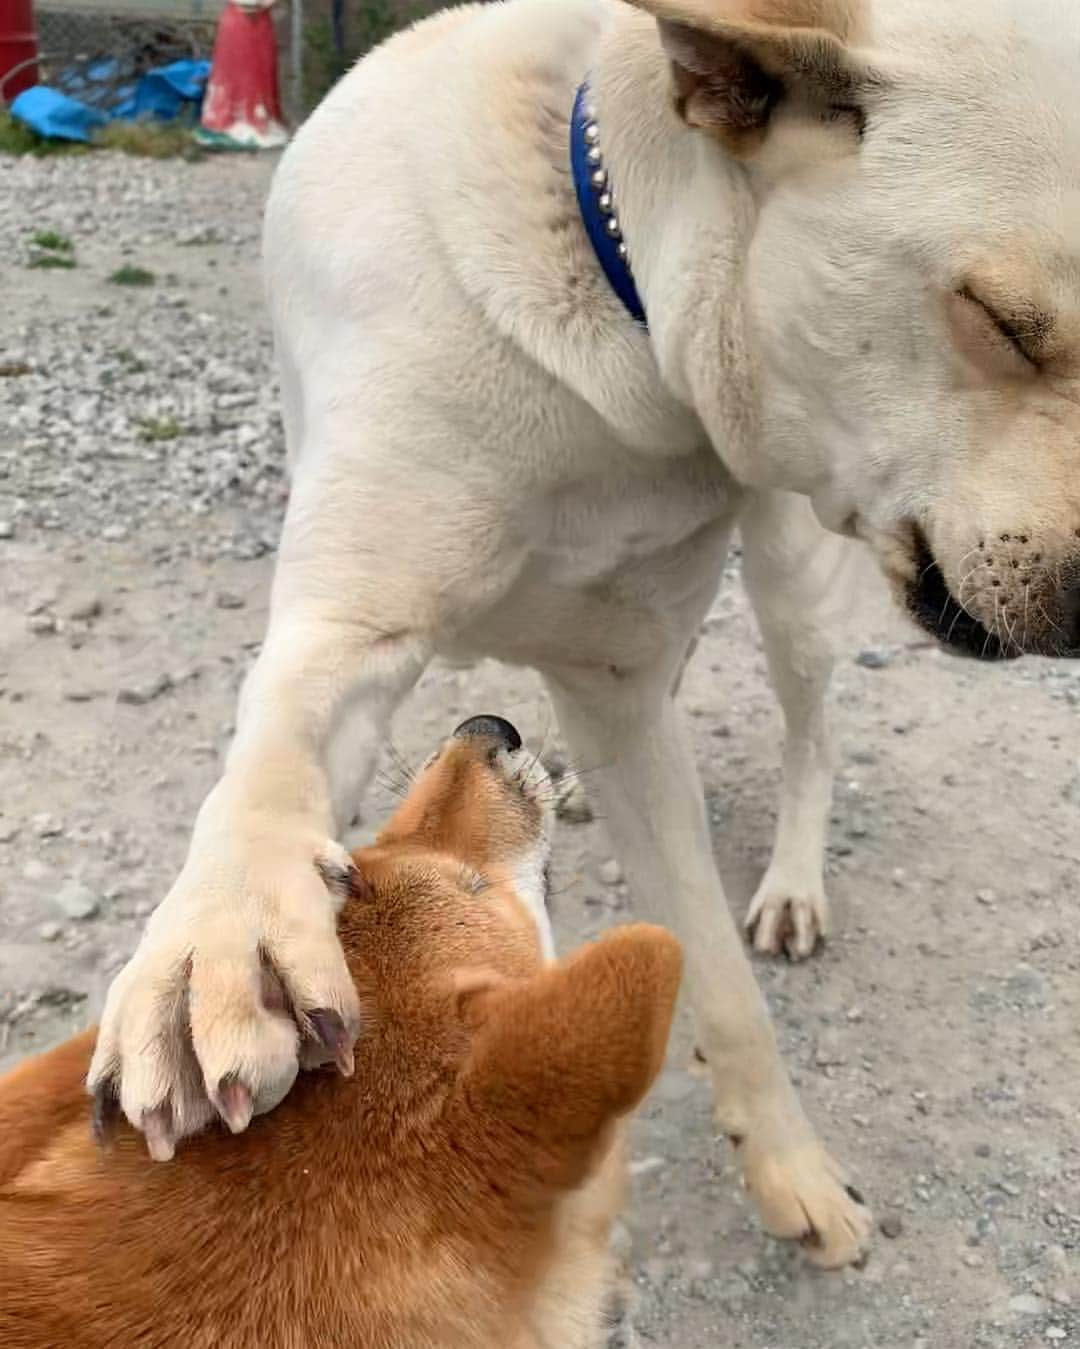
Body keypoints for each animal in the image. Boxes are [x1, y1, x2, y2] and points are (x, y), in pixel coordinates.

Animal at [88, 0, 1078, 1268]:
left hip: (797, 581)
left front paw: (793, 1171)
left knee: (813, 735)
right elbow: (272, 773)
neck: (620, 325)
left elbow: (723, 983)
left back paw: (791, 883)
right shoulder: (352, 622)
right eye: (1001, 322)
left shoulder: (624, 685)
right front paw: (225, 941)